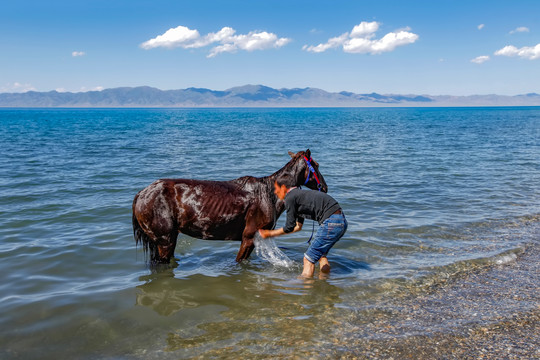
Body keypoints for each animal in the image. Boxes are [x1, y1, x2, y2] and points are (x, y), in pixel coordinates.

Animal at [132, 149, 326, 264]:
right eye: (316, 165)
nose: (324, 187)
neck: (268, 193)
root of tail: (141, 194)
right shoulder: (248, 238)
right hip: (165, 241)